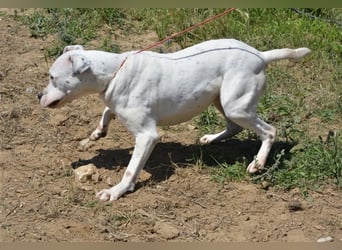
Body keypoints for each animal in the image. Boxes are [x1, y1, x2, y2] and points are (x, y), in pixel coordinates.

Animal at [38, 39, 310, 201]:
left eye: (52, 77)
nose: (39, 95)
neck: (113, 71)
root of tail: (260, 55)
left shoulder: (147, 136)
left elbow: (130, 170)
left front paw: (116, 191)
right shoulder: (115, 103)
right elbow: (106, 112)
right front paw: (95, 135)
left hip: (236, 106)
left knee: (269, 131)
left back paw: (258, 163)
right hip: (222, 101)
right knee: (233, 127)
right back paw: (211, 139)